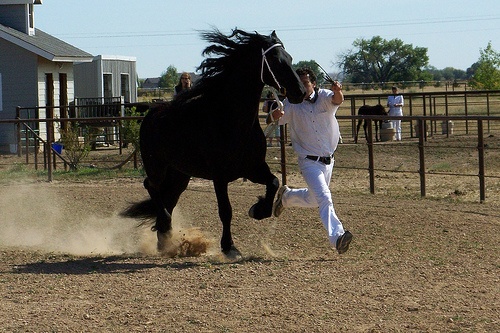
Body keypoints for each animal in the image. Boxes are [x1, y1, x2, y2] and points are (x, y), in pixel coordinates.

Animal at [121, 29, 304, 254]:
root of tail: (151, 113)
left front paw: (258, 210)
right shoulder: (220, 175)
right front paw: (229, 247)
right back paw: (165, 225)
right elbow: (226, 210)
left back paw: (165, 238)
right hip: (157, 167)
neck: (232, 119)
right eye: (276, 60)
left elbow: (274, 182)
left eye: (290, 58)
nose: (300, 92)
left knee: (169, 197)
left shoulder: (253, 168)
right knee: (152, 187)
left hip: (180, 174)